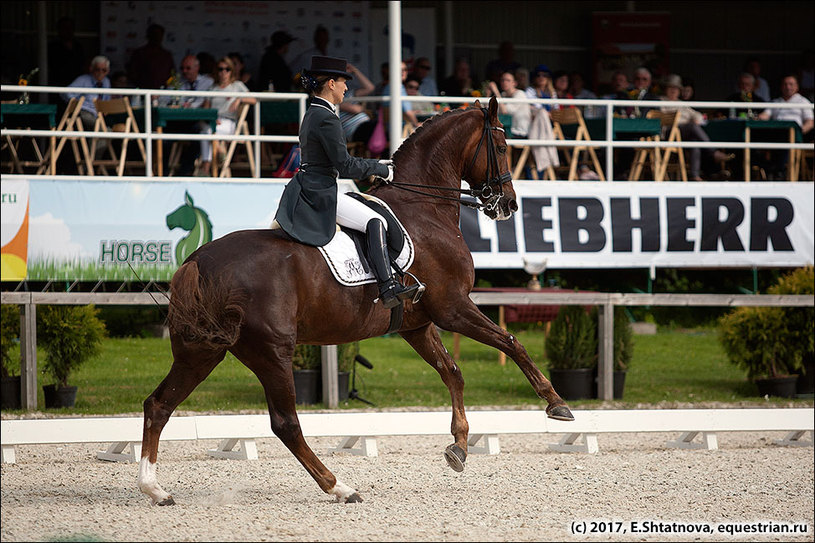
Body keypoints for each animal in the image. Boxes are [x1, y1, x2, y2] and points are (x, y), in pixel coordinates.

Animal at [139, 95, 572, 508]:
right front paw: (556, 403)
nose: (508, 204)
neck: (426, 208)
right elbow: (511, 343)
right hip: (272, 349)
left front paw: (460, 446)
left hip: (204, 350)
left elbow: (452, 372)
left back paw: (155, 489)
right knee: (285, 422)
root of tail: (197, 260)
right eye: (501, 145)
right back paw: (340, 488)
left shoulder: (417, 324)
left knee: (159, 404)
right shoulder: (453, 307)